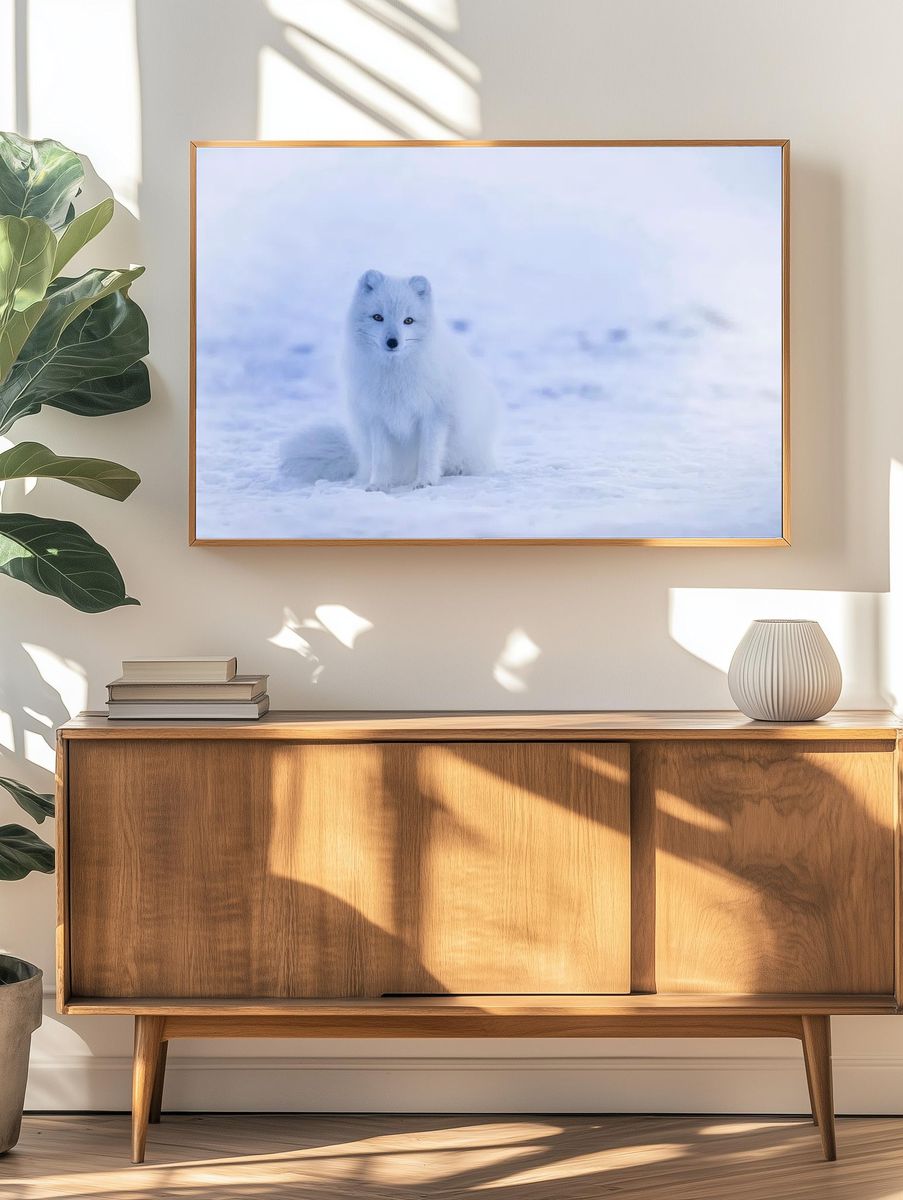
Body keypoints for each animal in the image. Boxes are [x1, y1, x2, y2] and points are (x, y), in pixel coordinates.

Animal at [280, 270, 499, 491]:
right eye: (378, 317)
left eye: (408, 320)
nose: (392, 342)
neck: (394, 377)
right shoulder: (377, 417)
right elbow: (382, 459)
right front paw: (378, 485)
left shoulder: (434, 415)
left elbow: (428, 455)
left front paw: (425, 481)